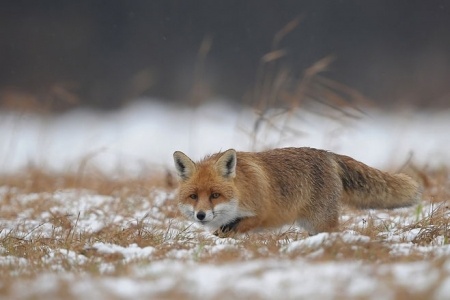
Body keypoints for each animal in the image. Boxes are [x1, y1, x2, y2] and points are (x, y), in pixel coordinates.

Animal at [172, 148, 422, 237]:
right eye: (193, 196)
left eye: (215, 195)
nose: (201, 215)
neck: (241, 192)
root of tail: (328, 154)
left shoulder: (259, 215)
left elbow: (230, 230)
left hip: (320, 222)